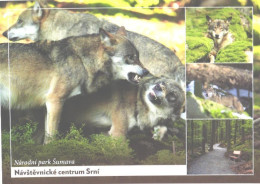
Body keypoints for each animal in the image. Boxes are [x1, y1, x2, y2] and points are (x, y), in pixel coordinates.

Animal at [0, 27, 148, 144]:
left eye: (139, 56)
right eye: (131, 57)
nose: (146, 72)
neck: (81, 60)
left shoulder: (49, 106)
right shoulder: (55, 101)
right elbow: (51, 138)